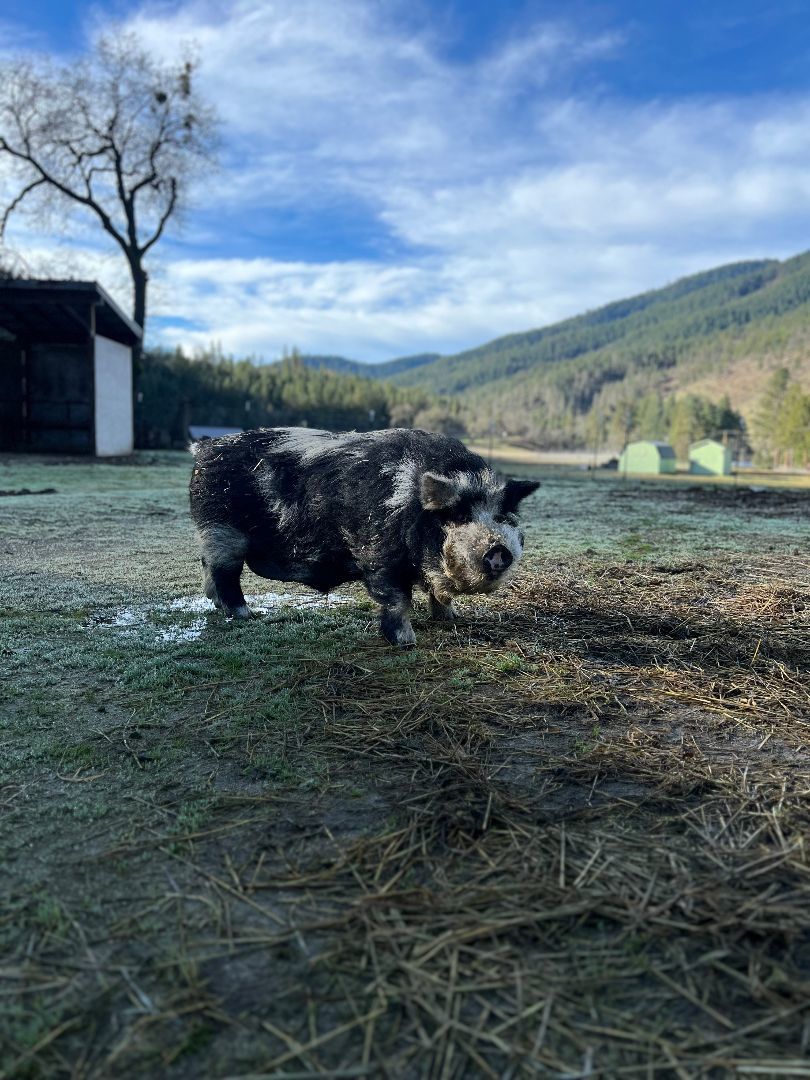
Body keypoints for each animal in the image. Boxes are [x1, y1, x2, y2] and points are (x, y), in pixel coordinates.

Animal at [189, 427, 539, 646]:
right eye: (459, 517)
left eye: (503, 516)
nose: (498, 550)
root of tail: (204, 447)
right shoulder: (378, 554)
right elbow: (398, 600)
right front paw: (406, 643)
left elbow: (439, 595)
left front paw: (450, 620)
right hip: (222, 532)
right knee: (224, 575)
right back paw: (248, 616)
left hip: (214, 536)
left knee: (208, 570)